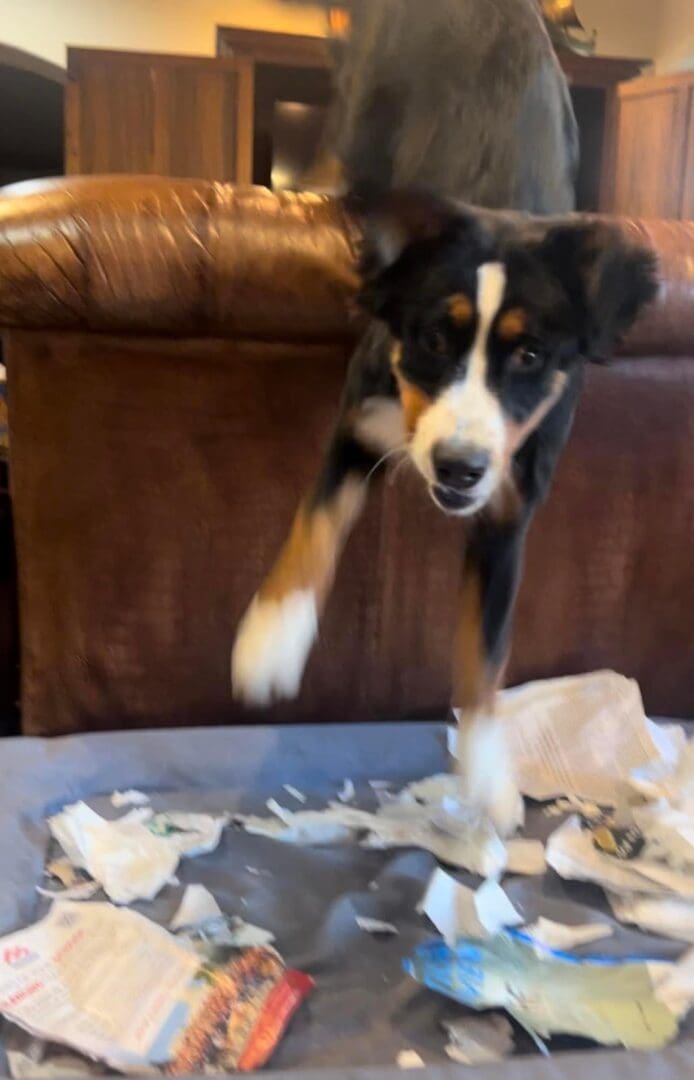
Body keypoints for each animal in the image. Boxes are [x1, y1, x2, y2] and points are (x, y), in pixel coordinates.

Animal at [230, 0, 660, 829]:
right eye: (434, 338)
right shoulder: (359, 420)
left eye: (530, 356)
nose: (459, 467)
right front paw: (271, 640)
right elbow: (314, 530)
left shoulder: (511, 510)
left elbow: (483, 649)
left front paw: (487, 767)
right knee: (338, 154)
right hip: (360, 102)